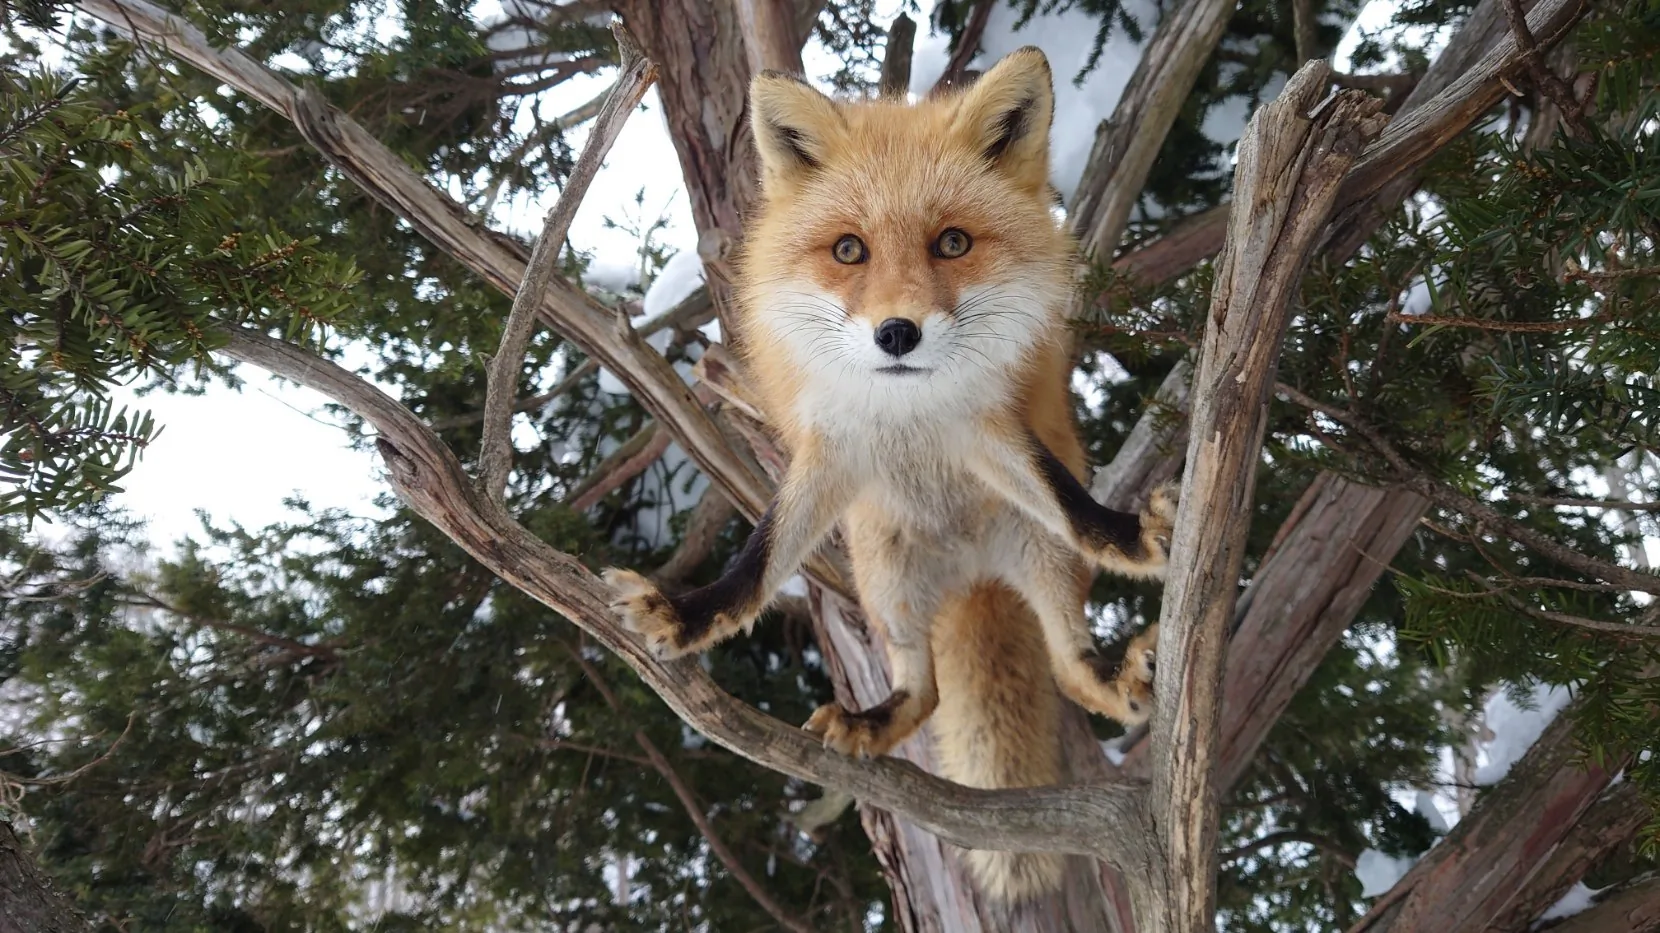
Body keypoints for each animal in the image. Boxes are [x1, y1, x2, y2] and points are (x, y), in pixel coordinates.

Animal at [602, 46, 1176, 902]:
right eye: (850, 250)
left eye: (952, 242)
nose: (897, 333)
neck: (905, 415)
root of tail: (970, 575)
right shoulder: (830, 455)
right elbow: (761, 558)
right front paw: (691, 611)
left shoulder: (986, 431)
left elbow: (1071, 500)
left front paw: (1131, 535)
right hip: (886, 584)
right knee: (927, 691)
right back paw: (876, 719)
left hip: (1040, 558)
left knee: (1071, 669)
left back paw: (1112, 676)